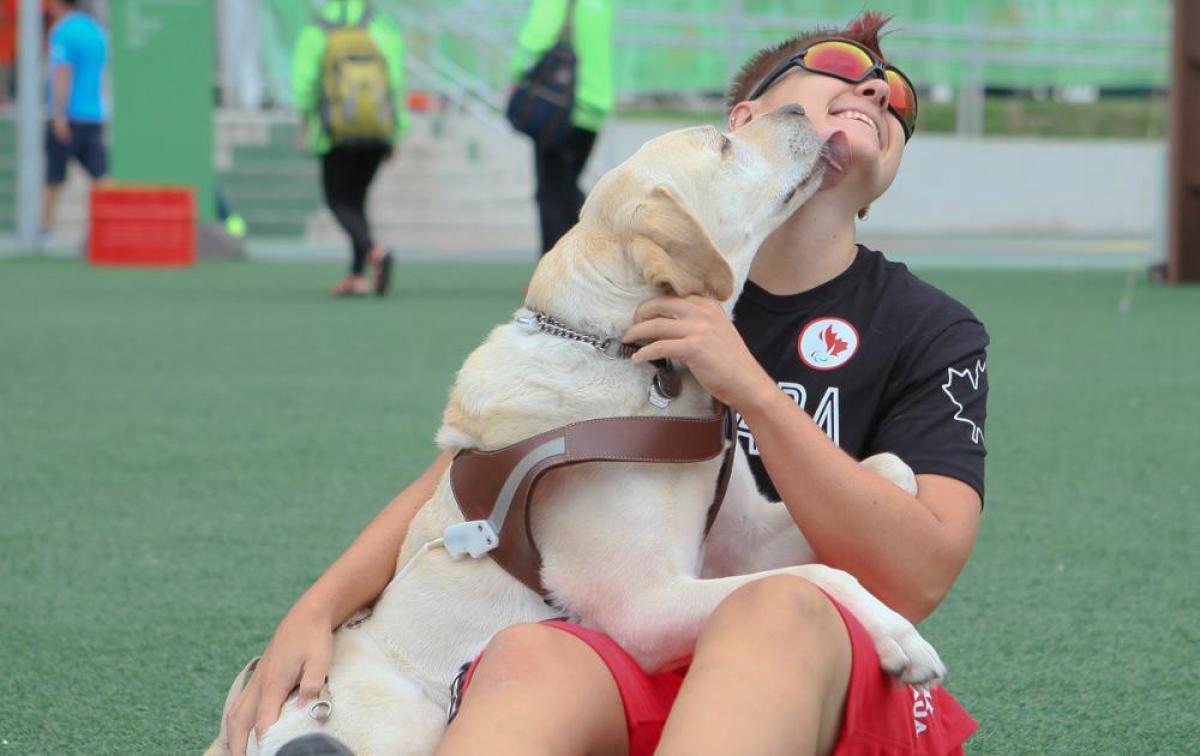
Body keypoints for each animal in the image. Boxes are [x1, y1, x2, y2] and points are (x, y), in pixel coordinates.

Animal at [211, 106, 940, 756]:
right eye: (726, 144)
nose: (802, 111)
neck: (623, 356)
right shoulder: (643, 605)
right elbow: (819, 574)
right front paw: (900, 636)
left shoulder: (741, 541)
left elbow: (884, 476)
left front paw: (897, 516)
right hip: (402, 720)